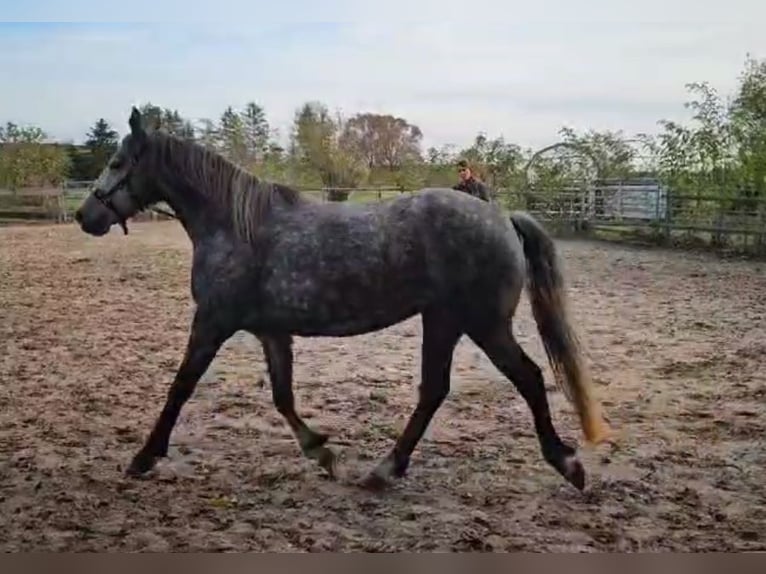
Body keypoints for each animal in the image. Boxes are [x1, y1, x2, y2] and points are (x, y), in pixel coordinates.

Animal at [73, 108, 612, 496]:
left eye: (118, 163)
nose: (84, 216)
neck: (235, 227)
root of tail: (501, 217)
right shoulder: (271, 331)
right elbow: (282, 397)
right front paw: (322, 452)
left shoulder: (212, 322)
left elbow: (180, 388)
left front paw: (143, 457)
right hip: (445, 321)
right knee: (435, 391)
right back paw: (386, 469)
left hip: (480, 323)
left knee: (526, 378)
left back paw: (565, 464)